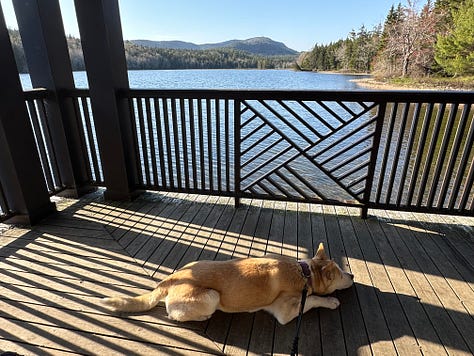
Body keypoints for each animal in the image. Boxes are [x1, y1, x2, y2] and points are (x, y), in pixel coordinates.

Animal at [102, 243, 354, 324]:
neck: (304, 272)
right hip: (211, 296)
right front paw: (331, 301)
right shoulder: (286, 311)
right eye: (341, 274)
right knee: (174, 314)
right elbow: (312, 299)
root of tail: (169, 279)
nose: (352, 276)